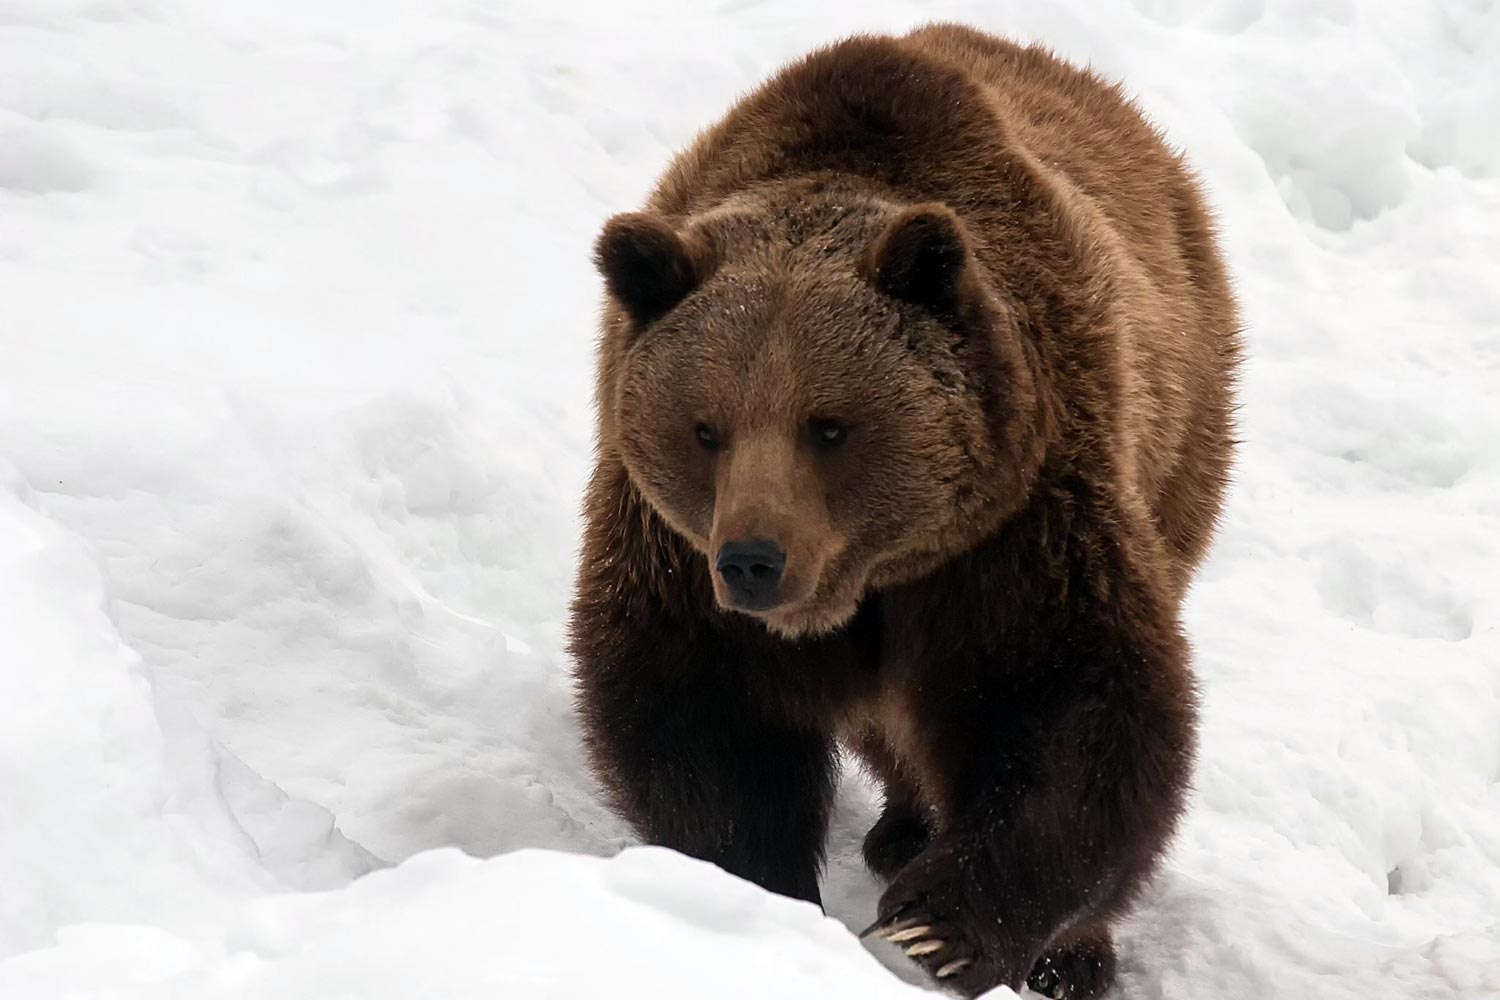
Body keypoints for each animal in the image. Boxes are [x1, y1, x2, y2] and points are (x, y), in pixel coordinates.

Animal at [567, 23, 1236, 1000]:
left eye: (829, 424)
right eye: (705, 427)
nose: (754, 560)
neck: (865, 580)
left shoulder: (1016, 524)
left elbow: (1078, 706)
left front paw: (938, 929)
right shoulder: (674, 553)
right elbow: (697, 715)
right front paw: (752, 888)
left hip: (1181, 437)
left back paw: (1060, 946)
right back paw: (902, 825)